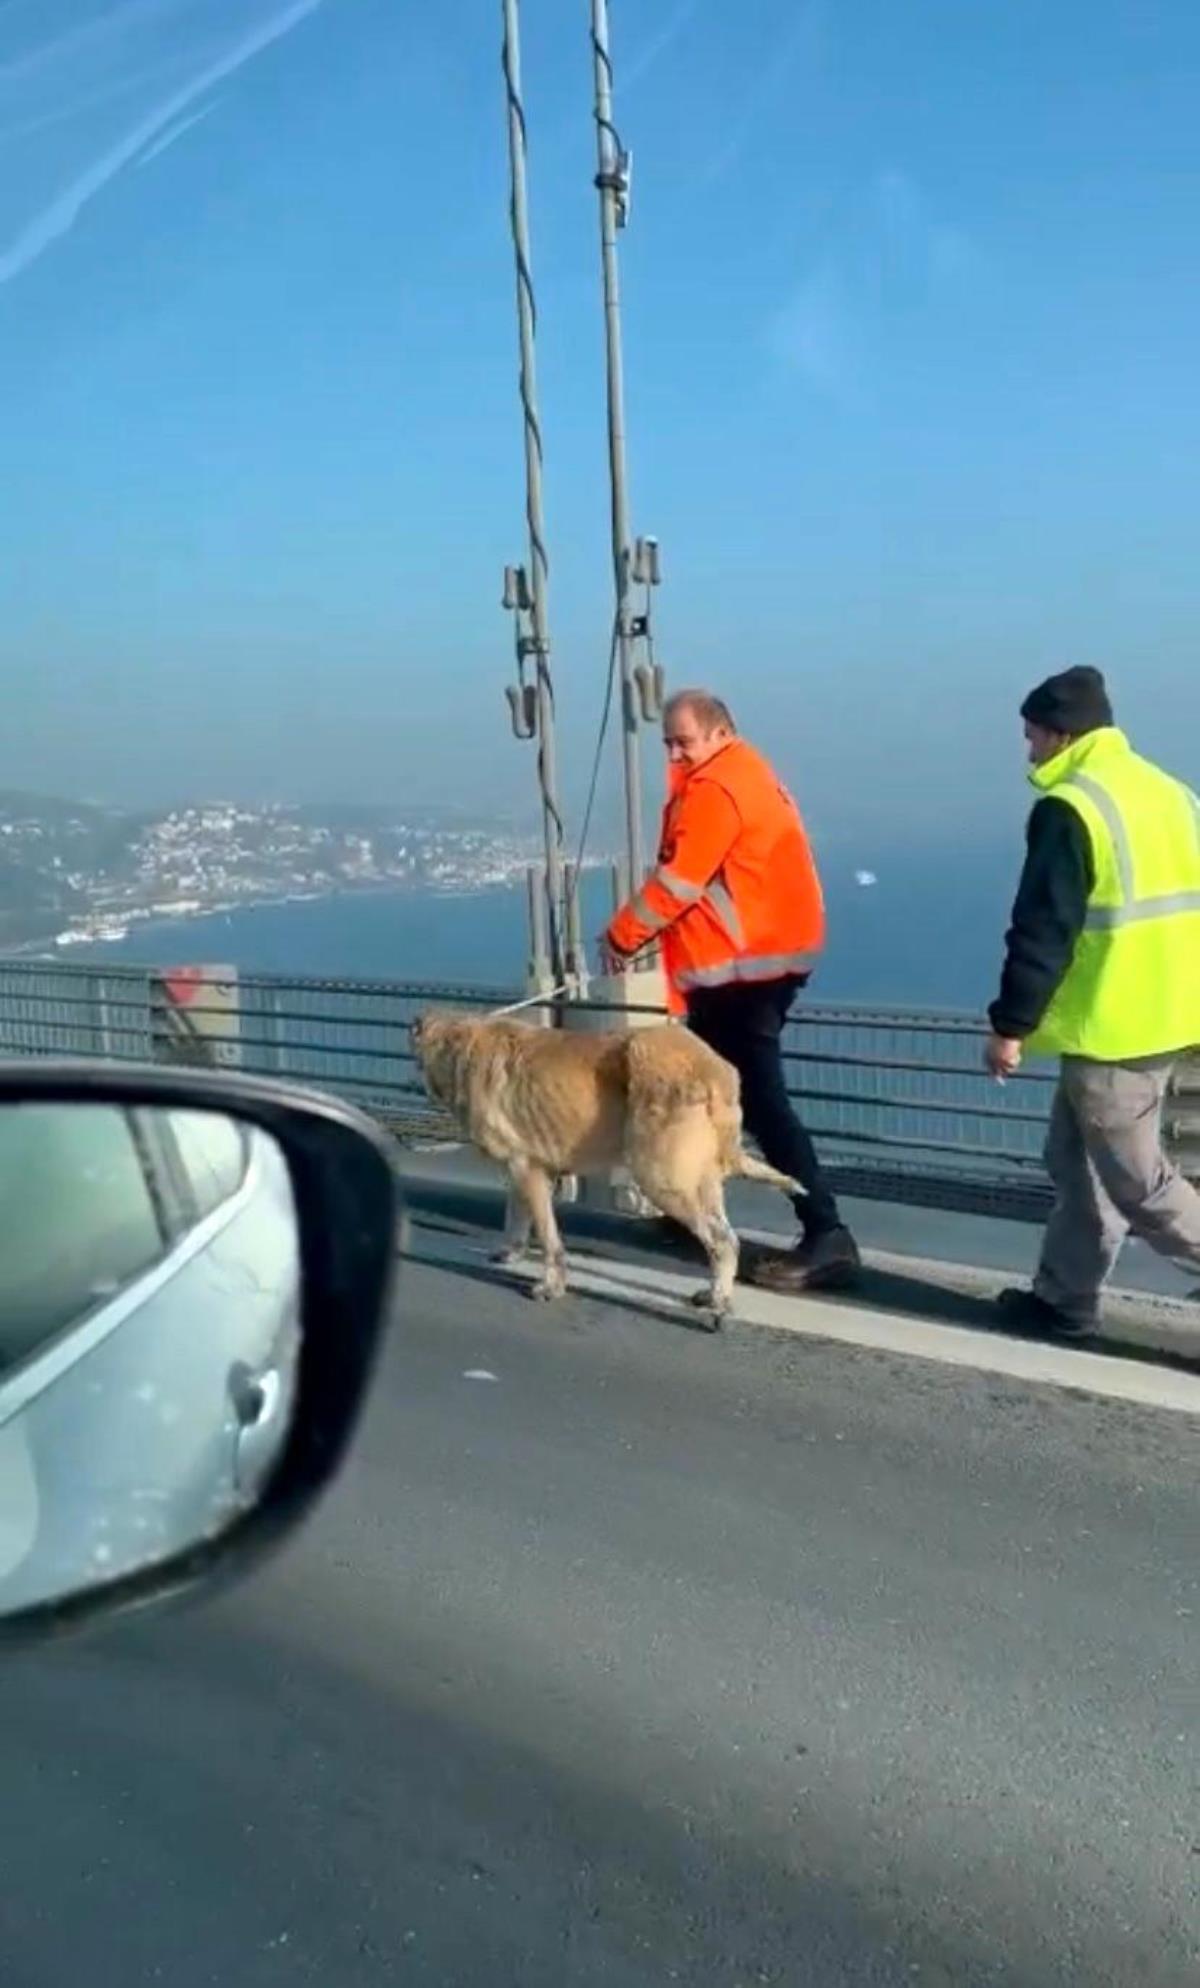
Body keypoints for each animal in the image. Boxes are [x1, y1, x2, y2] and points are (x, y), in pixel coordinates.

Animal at [413, 1017, 806, 1327]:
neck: (461, 1044)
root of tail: (716, 1072)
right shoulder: (525, 1166)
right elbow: (517, 1213)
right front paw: (510, 1252)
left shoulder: (529, 1169)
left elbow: (549, 1236)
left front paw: (551, 1284)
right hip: (700, 1182)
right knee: (726, 1237)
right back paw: (714, 1294)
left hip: (661, 1178)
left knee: (721, 1241)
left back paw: (720, 1308)